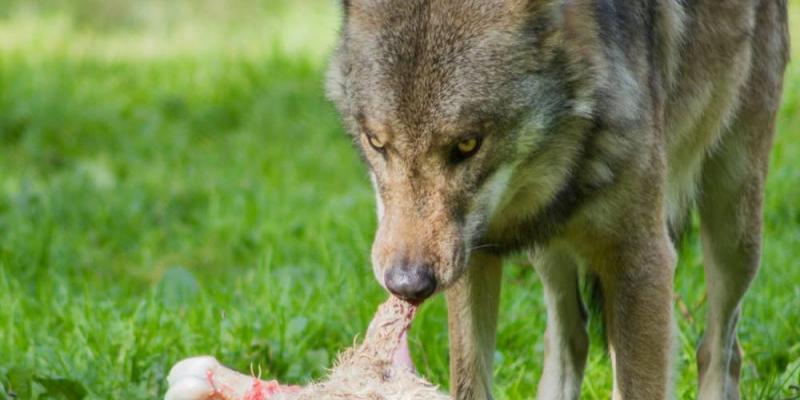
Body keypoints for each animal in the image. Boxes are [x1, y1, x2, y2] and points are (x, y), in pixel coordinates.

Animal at [324, 0, 788, 396]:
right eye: (376, 142)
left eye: (468, 144)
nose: (407, 284)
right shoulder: (475, 260)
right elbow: (470, 382)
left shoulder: (643, 260)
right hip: (547, 249)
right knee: (571, 339)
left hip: (734, 228)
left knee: (720, 350)